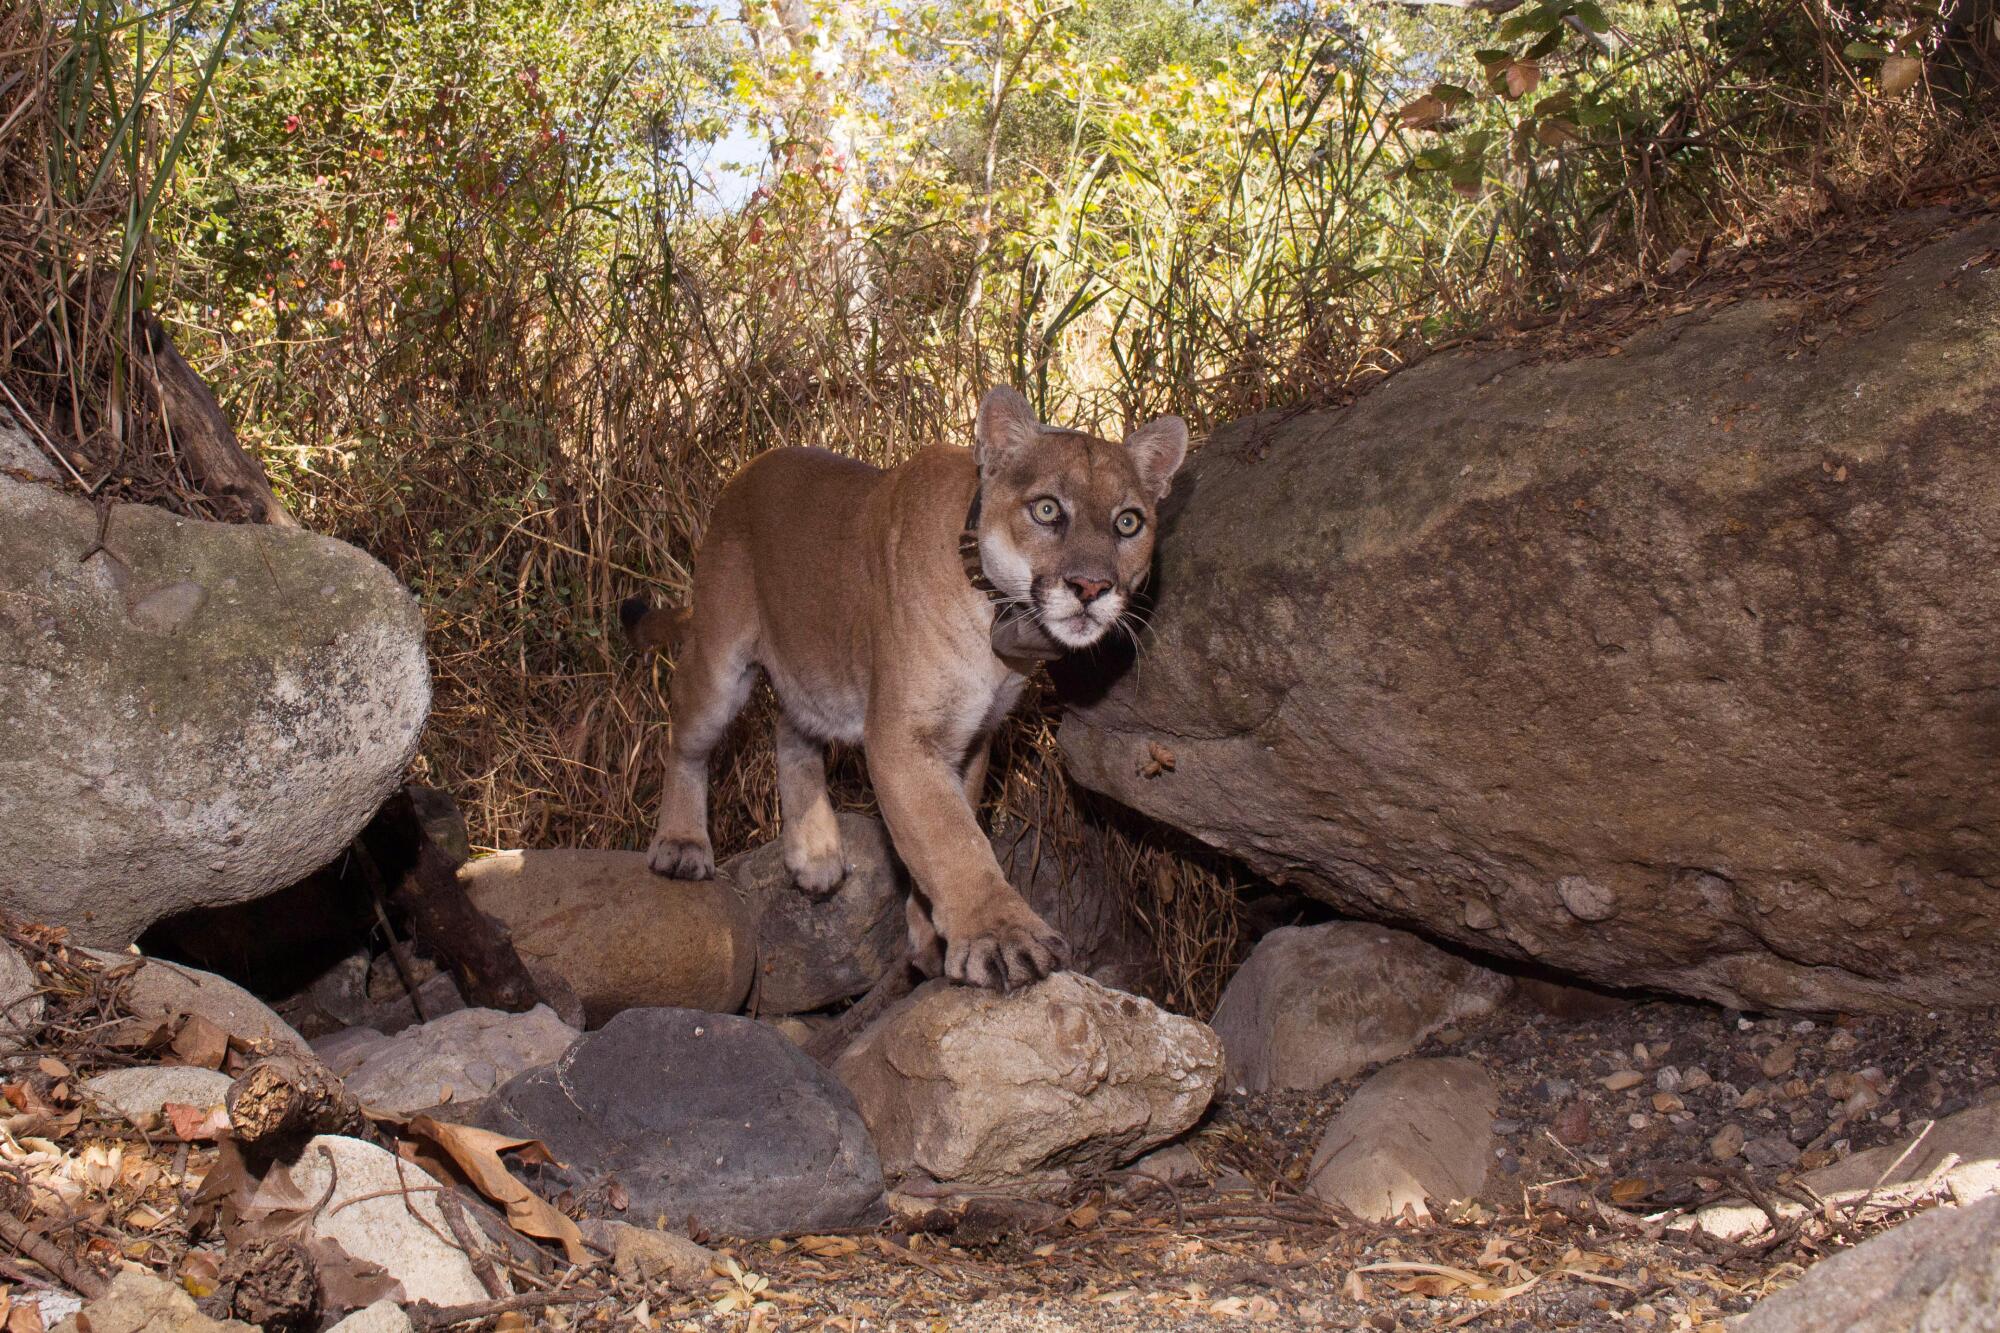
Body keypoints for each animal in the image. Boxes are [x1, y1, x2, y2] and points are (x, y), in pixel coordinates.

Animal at [624, 384, 1184, 984]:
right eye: (1047, 509)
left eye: (1128, 523)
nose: (1091, 587)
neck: (996, 610)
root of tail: (747, 468)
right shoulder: (903, 738)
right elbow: (951, 837)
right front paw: (1001, 937)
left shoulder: (971, 738)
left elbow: (945, 829)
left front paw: (930, 936)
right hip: (720, 663)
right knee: (686, 739)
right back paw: (682, 845)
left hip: (816, 666)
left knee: (789, 729)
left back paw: (815, 852)